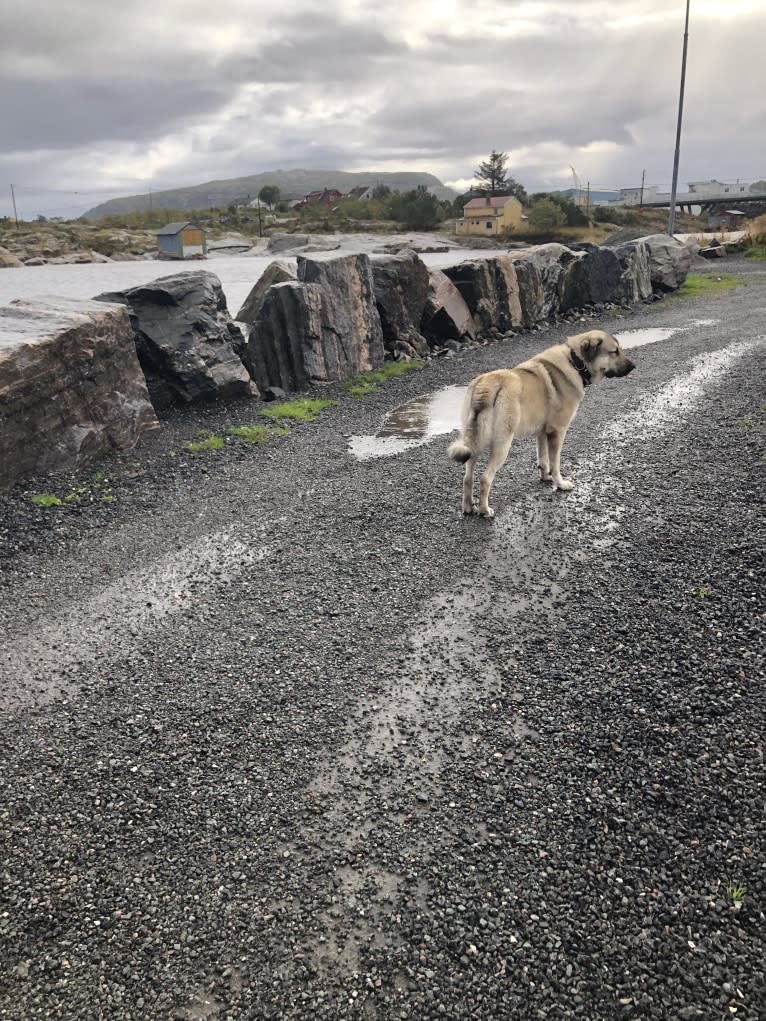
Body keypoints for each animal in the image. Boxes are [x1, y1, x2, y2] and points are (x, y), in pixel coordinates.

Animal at [449, 328, 637, 518]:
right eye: (614, 352)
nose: (633, 366)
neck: (575, 362)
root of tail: (486, 385)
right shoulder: (557, 432)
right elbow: (555, 462)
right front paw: (559, 483)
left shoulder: (541, 432)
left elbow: (543, 457)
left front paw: (545, 476)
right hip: (502, 444)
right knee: (485, 478)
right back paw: (484, 510)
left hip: (474, 443)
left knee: (467, 478)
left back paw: (468, 507)